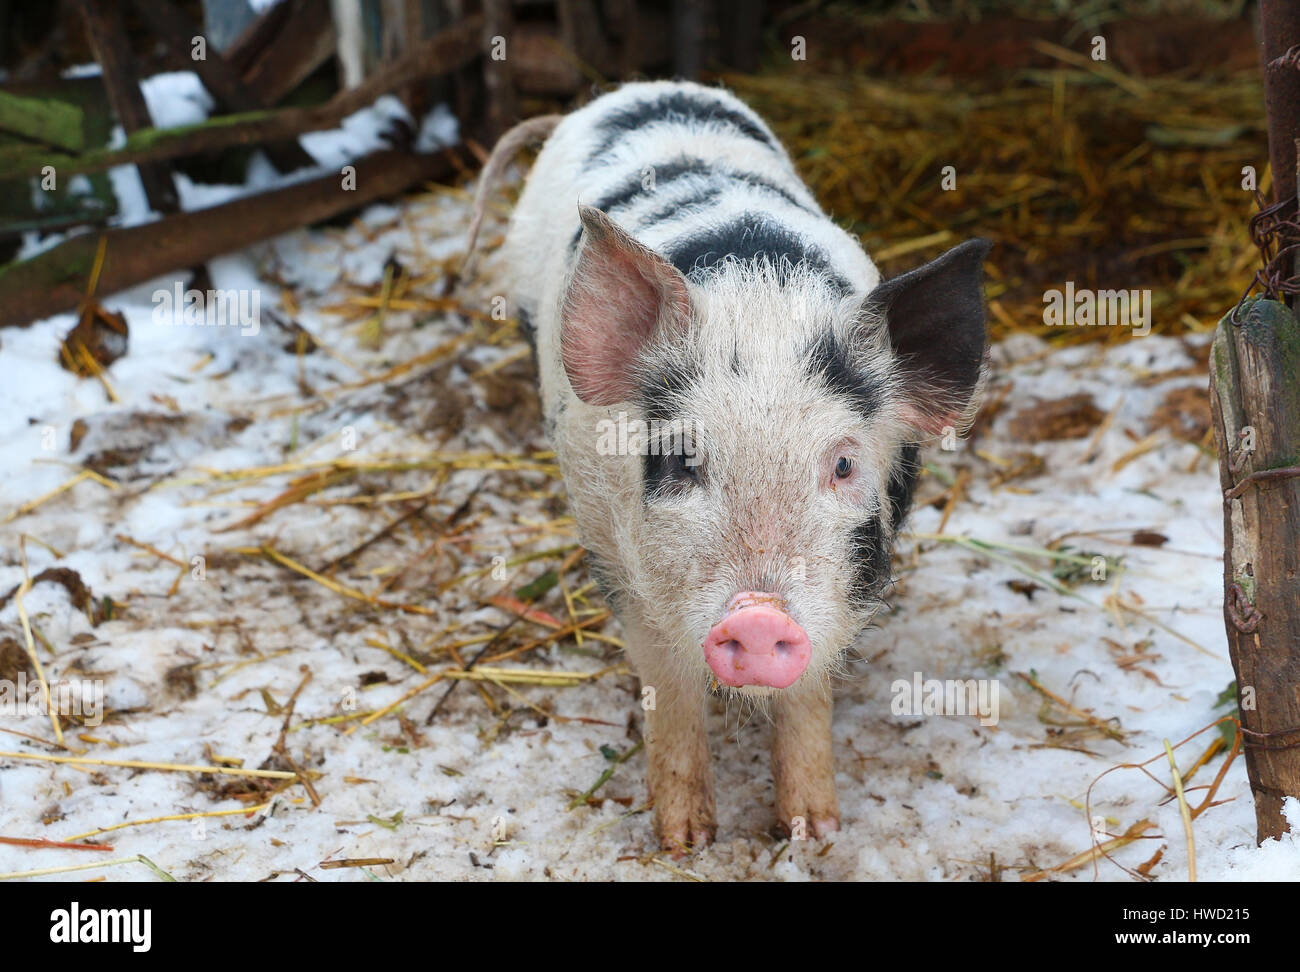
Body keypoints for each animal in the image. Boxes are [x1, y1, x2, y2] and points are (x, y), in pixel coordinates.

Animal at [473, 79, 987, 852]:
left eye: (843, 464)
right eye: (682, 460)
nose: (758, 615)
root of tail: (637, 89)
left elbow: (809, 696)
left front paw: (813, 831)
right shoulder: (610, 553)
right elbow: (668, 683)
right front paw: (685, 840)